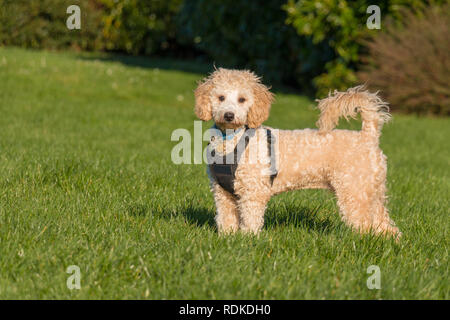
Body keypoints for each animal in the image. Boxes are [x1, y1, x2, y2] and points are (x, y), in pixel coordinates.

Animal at [193, 67, 400, 238]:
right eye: (220, 97)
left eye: (242, 99)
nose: (229, 115)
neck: (231, 141)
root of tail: (368, 135)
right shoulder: (222, 193)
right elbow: (226, 219)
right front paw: (228, 239)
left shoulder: (253, 192)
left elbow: (251, 219)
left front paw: (247, 240)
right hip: (372, 191)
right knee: (385, 225)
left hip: (354, 192)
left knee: (365, 224)